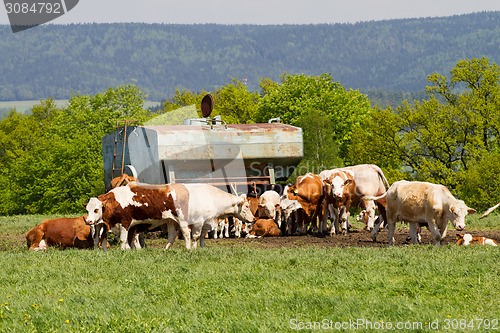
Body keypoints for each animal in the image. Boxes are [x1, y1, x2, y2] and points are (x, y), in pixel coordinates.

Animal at [85, 182, 254, 249]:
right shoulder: (195, 222)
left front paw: (199, 247)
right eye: (246, 206)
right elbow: (193, 235)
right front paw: (191, 249)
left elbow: (197, 236)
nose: (253, 219)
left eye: (95, 209)